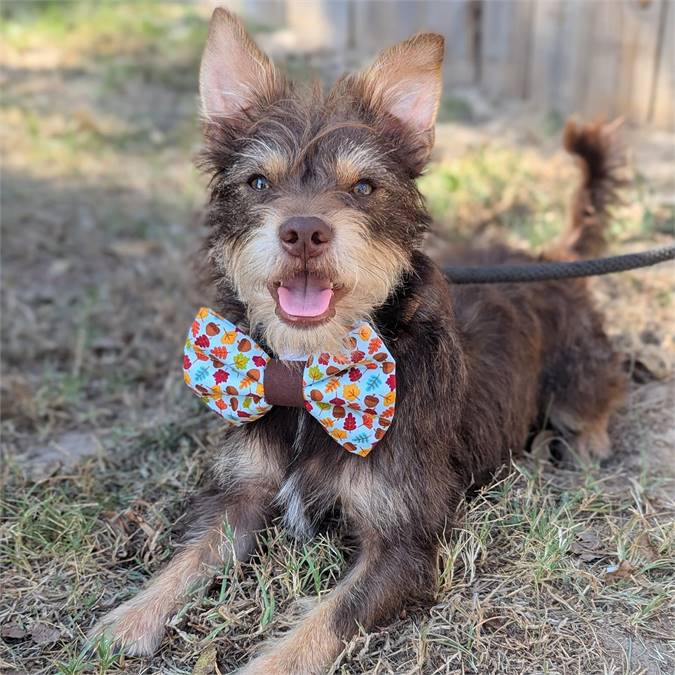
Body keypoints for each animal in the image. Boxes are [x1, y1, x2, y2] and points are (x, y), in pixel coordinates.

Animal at [90, 7, 628, 672]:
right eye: (258, 182)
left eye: (364, 188)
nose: (304, 232)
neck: (305, 373)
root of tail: (547, 257)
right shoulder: (239, 495)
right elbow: (189, 557)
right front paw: (129, 619)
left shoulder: (402, 545)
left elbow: (326, 619)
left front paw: (266, 662)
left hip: (576, 380)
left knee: (600, 397)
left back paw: (587, 442)